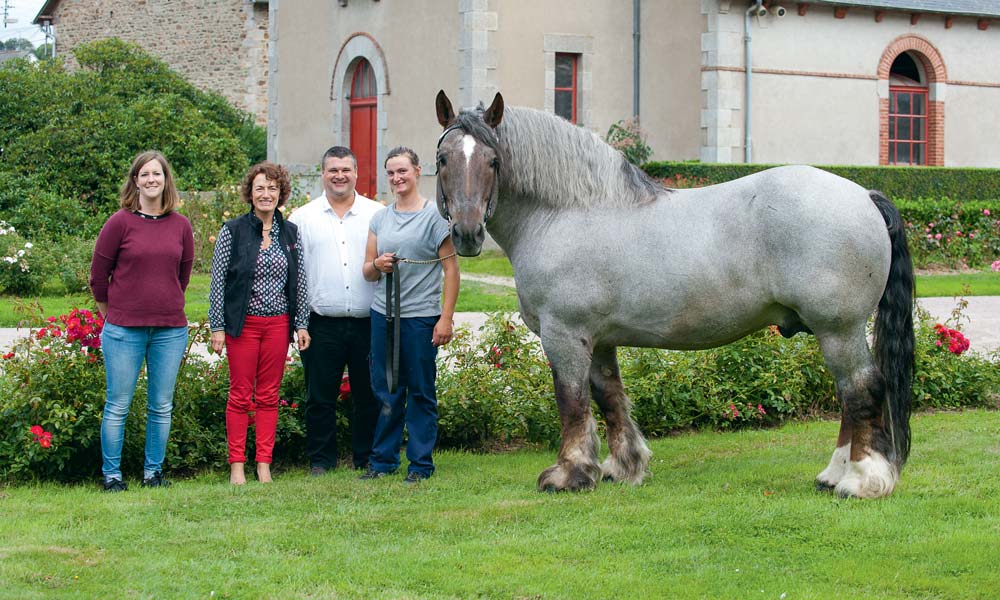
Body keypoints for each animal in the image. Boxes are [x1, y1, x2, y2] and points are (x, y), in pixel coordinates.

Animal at [434, 91, 916, 500]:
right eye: (442, 159)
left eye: (493, 160)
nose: (467, 233)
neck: (568, 213)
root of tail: (864, 195)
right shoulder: (599, 339)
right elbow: (609, 398)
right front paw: (624, 468)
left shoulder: (564, 335)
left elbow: (572, 402)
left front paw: (569, 474)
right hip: (834, 332)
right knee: (849, 397)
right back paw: (833, 474)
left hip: (839, 329)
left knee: (861, 390)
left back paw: (861, 480)